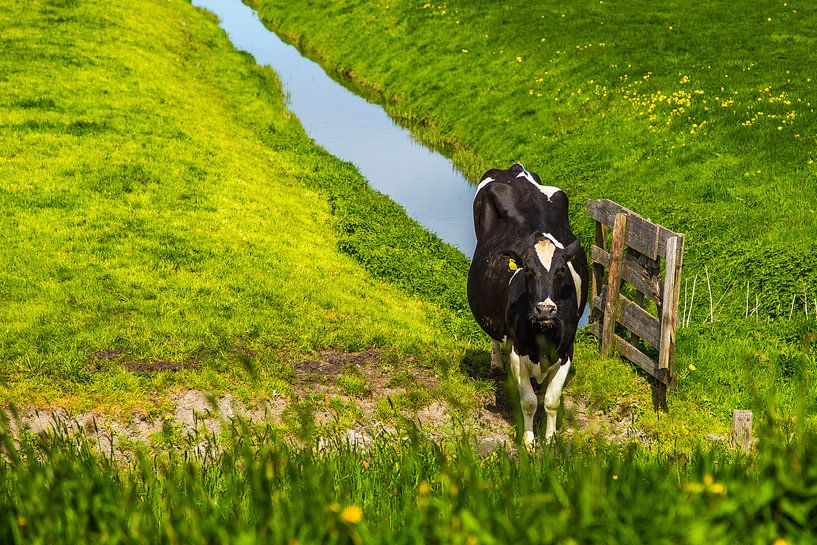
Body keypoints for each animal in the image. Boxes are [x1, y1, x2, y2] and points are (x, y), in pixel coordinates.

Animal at [466, 163, 588, 446]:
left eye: (561, 271)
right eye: (529, 271)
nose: (545, 309)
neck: (543, 333)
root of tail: (515, 170)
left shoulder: (567, 351)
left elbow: (551, 400)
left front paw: (551, 440)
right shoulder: (518, 351)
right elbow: (529, 402)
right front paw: (529, 441)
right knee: (496, 336)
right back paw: (496, 364)